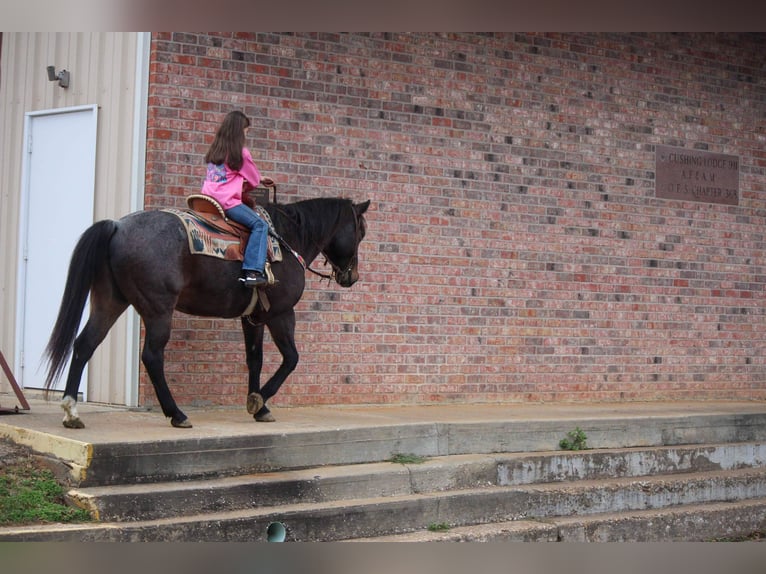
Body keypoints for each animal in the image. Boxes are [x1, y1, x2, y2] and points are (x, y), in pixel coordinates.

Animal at [42, 196, 372, 430]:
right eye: (361, 231)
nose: (352, 276)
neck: (287, 238)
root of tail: (117, 226)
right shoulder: (280, 313)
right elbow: (291, 358)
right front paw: (259, 400)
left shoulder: (253, 317)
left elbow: (255, 359)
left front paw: (260, 407)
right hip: (158, 309)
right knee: (152, 356)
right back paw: (176, 414)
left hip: (110, 302)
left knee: (84, 344)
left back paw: (71, 411)